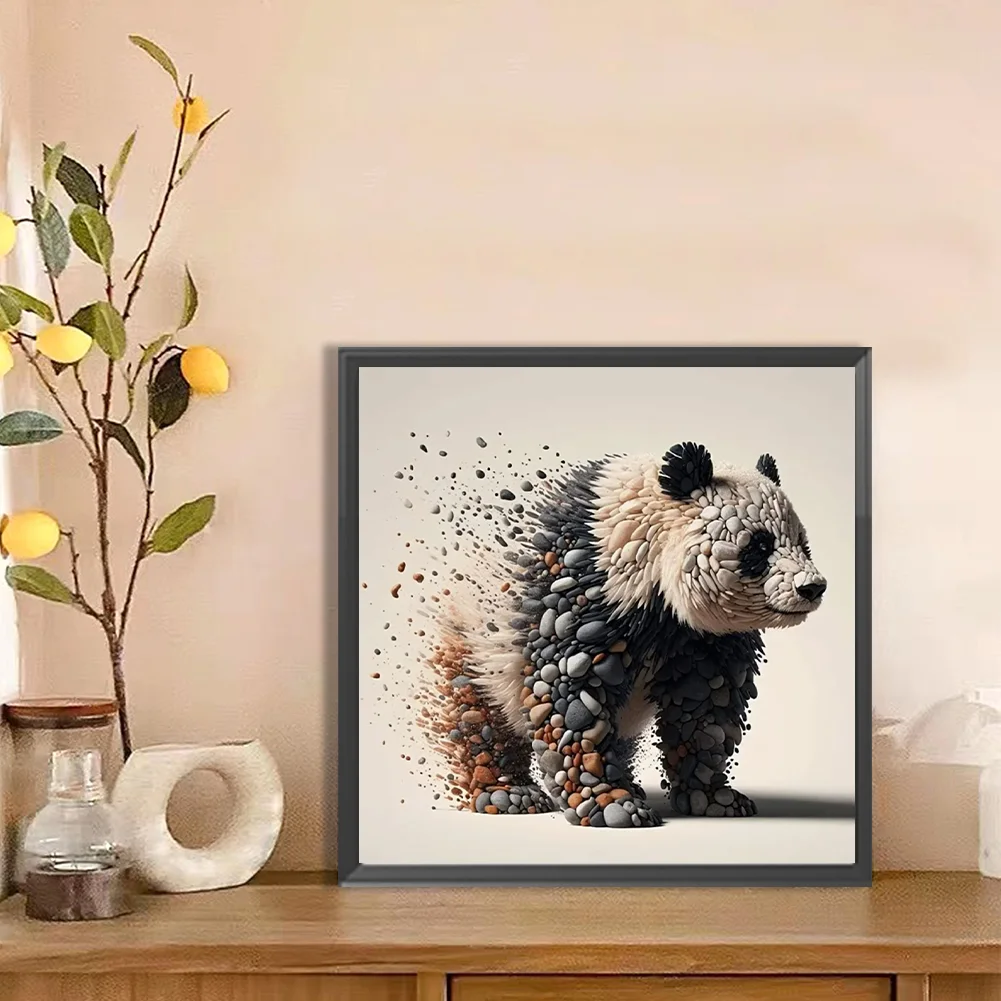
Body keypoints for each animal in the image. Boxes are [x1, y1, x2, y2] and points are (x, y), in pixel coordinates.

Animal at [423, 442, 826, 828]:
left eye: (802, 543)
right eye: (759, 546)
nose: (812, 587)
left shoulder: (703, 636)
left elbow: (705, 707)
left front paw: (715, 798)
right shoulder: (582, 590)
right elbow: (570, 699)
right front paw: (610, 805)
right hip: (474, 636)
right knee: (480, 717)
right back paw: (509, 793)